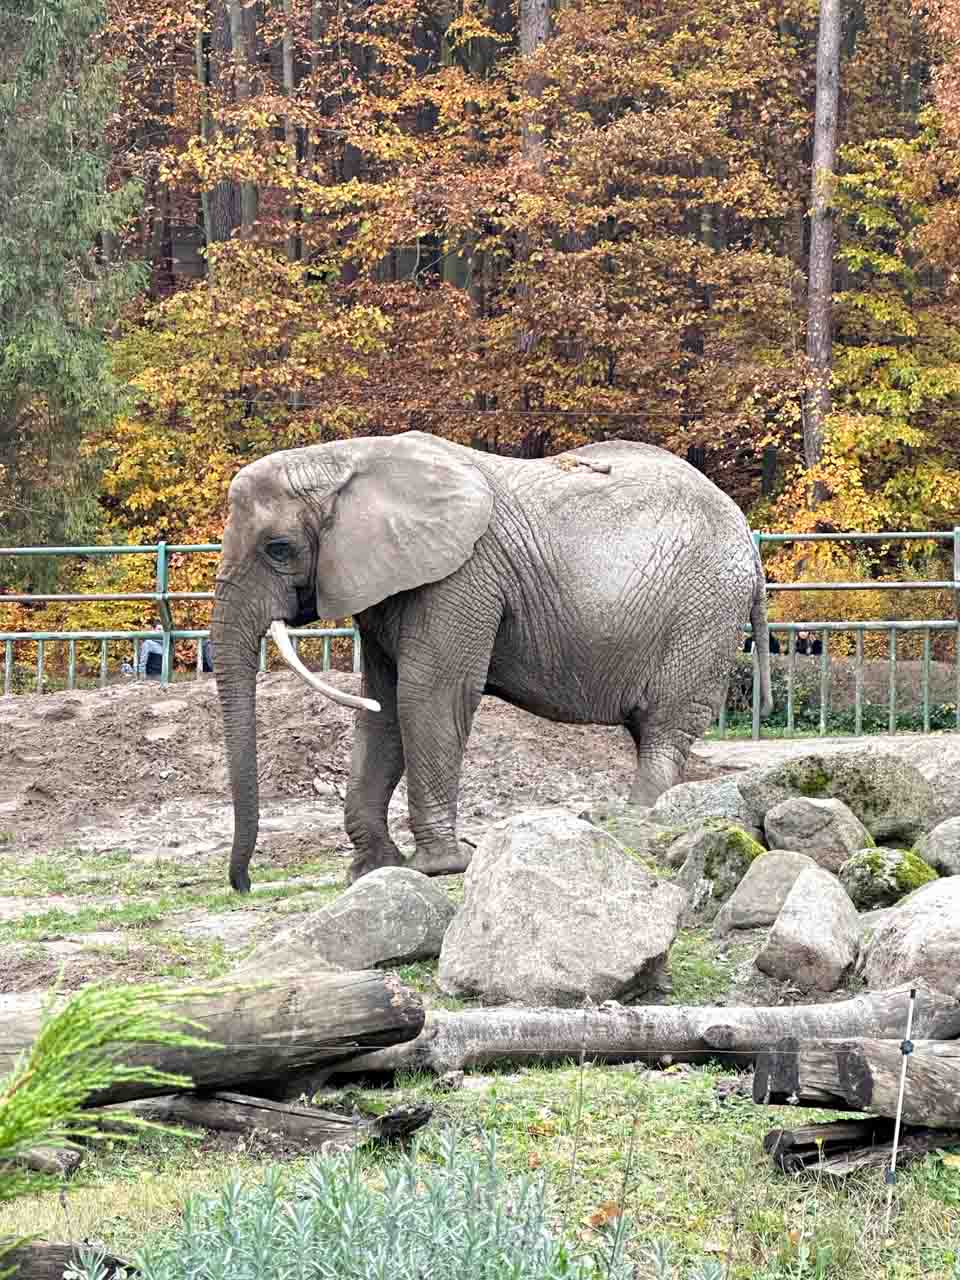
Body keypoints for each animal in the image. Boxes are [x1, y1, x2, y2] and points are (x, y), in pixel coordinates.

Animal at [212, 431, 772, 891]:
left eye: (278, 548)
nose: (243, 885)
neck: (343, 459)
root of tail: (748, 538)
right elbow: (383, 707)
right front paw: (373, 870)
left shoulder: (462, 576)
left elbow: (427, 697)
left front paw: (440, 866)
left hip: (704, 611)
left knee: (665, 728)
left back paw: (630, 824)